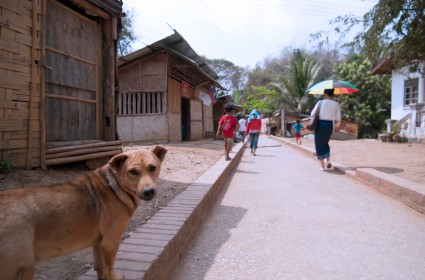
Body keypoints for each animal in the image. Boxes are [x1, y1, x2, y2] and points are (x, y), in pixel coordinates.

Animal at [0, 145, 166, 278]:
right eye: (133, 172)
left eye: (152, 168)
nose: (149, 191)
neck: (115, 185)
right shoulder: (110, 242)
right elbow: (109, 268)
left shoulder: (98, 243)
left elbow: (100, 268)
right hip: (22, 268)